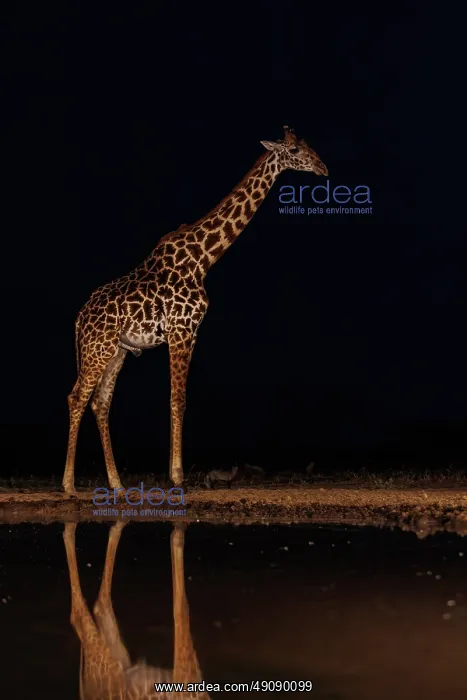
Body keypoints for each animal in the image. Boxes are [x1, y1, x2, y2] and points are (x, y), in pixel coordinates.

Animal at [62, 126, 328, 493]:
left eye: (306, 145)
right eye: (294, 150)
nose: (323, 168)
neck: (204, 258)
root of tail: (79, 318)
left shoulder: (189, 332)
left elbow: (178, 398)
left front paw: (173, 473)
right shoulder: (181, 330)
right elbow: (179, 399)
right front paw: (177, 476)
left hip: (117, 351)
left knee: (100, 403)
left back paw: (116, 483)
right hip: (96, 349)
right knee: (76, 397)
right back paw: (69, 485)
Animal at [63, 520, 211, 699]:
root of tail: (86, 692)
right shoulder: (186, 675)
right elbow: (181, 609)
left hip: (118, 660)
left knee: (101, 603)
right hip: (108, 669)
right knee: (79, 613)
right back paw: (70, 524)